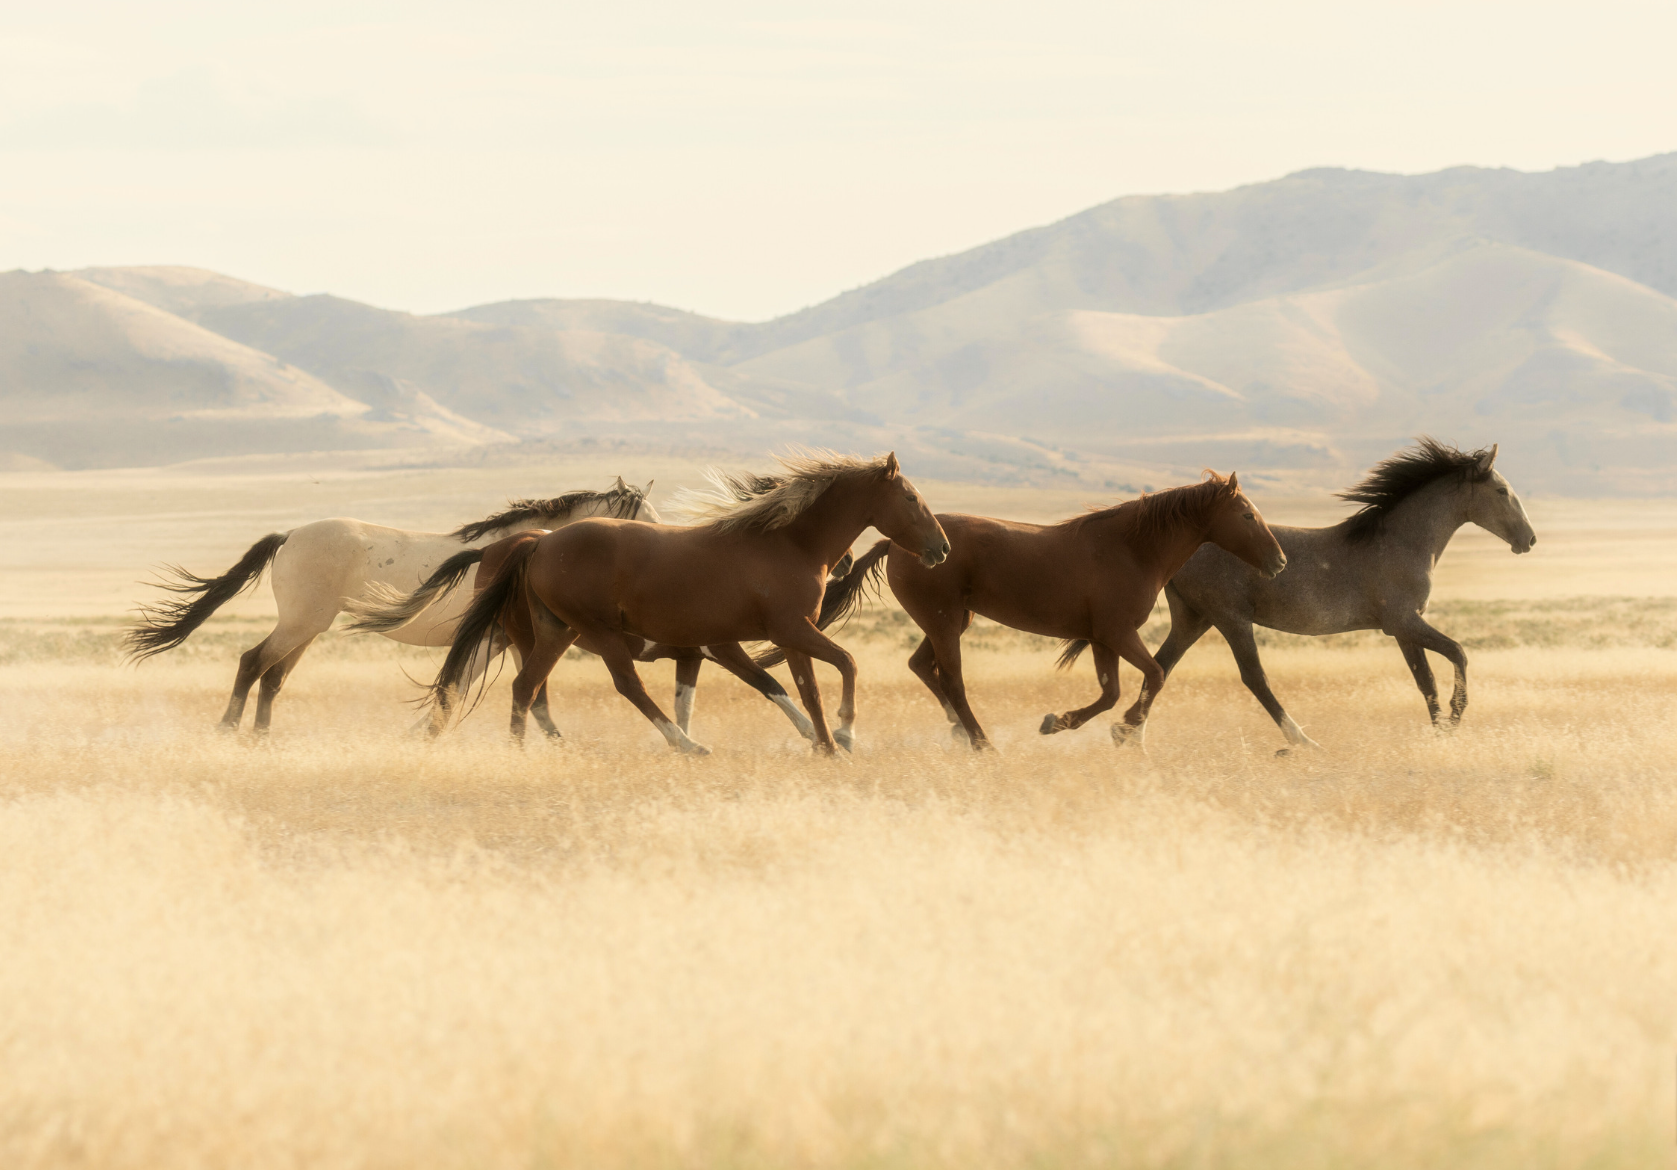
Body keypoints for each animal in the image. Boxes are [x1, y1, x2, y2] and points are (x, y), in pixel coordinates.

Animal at [122, 472, 660, 730]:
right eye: (643, 518)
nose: (661, 550)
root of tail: (290, 534)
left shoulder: (503, 642)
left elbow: (474, 689)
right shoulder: (493, 639)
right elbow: (457, 689)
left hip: (309, 628)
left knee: (272, 677)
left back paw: (261, 740)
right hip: (300, 624)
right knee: (252, 662)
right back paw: (228, 731)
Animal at [425, 452, 952, 750]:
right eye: (910, 498)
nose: (942, 548)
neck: (788, 543)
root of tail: (539, 543)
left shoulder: (772, 639)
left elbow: (799, 689)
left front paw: (823, 746)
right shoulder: (787, 631)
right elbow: (845, 664)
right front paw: (844, 735)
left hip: (556, 630)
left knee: (526, 688)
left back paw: (519, 755)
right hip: (596, 631)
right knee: (626, 685)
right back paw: (683, 745)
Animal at [781, 472, 1281, 750]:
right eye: (1248, 516)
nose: (1279, 561)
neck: (1131, 549)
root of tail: (903, 544)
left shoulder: (1102, 638)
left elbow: (1111, 693)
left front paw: (1058, 723)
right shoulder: (1118, 634)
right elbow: (1152, 678)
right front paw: (1120, 731)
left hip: (951, 621)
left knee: (921, 666)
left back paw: (960, 733)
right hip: (945, 622)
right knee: (952, 680)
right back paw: (982, 743)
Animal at [1093, 435, 1536, 747]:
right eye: (1501, 491)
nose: (1529, 539)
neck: (1403, 541)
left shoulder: (1403, 629)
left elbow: (1425, 682)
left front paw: (1440, 733)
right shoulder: (1404, 621)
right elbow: (1458, 653)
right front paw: (1455, 720)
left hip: (1193, 618)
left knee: (1160, 667)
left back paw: (1127, 736)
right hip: (1230, 618)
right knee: (1254, 678)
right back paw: (1302, 742)